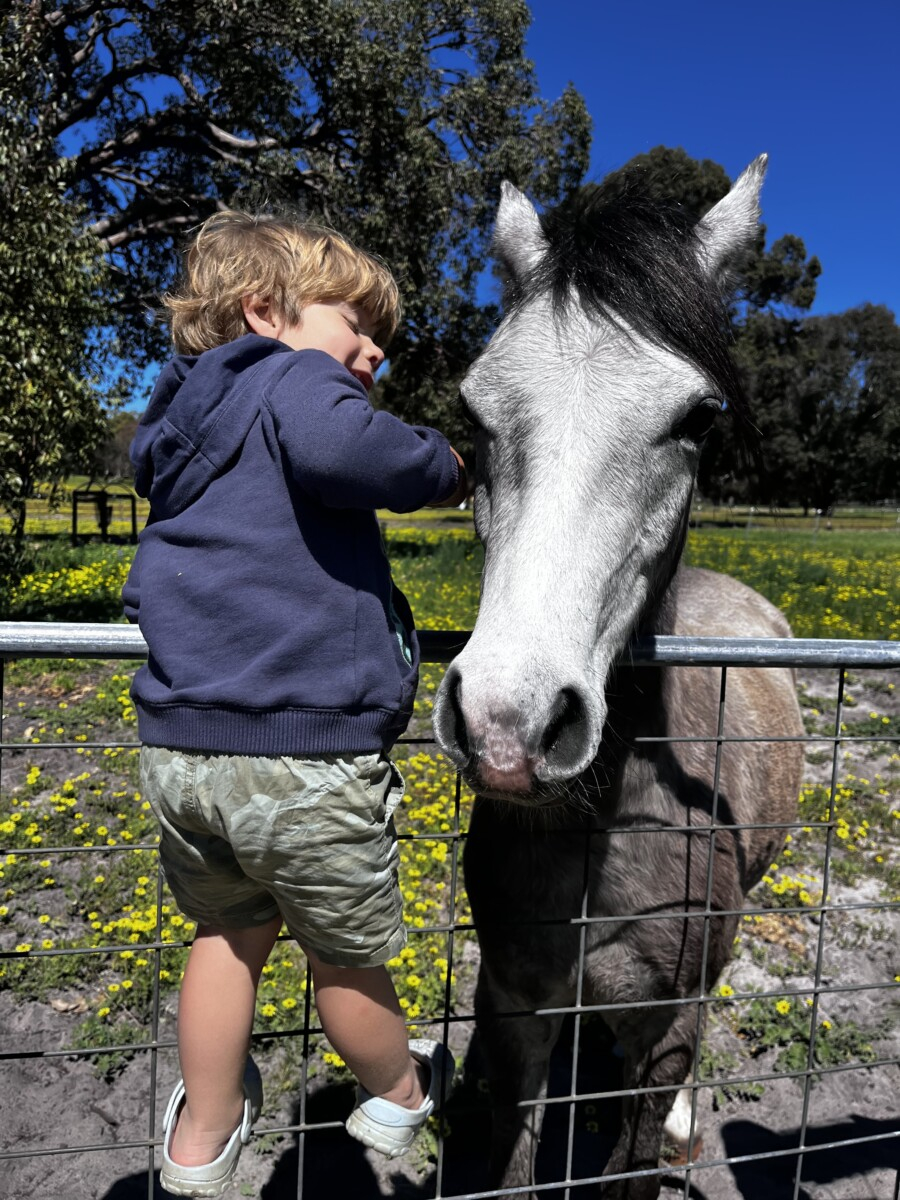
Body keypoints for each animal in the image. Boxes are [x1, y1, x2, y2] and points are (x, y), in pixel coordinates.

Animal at [432, 157, 805, 1199]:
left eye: (698, 418)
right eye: (471, 411)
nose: (508, 724)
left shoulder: (665, 1029)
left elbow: (633, 1159)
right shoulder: (514, 1005)